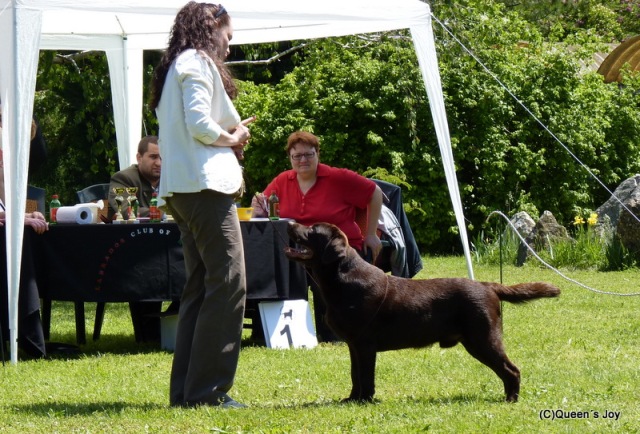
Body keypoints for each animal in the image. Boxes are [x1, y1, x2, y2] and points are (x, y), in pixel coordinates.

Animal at [284, 222, 560, 403]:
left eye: (312, 230)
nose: (288, 222)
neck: (341, 280)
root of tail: (488, 285)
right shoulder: (354, 345)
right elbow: (355, 375)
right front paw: (351, 399)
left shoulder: (365, 345)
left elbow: (366, 377)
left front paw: (365, 401)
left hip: (483, 339)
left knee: (511, 369)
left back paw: (511, 400)